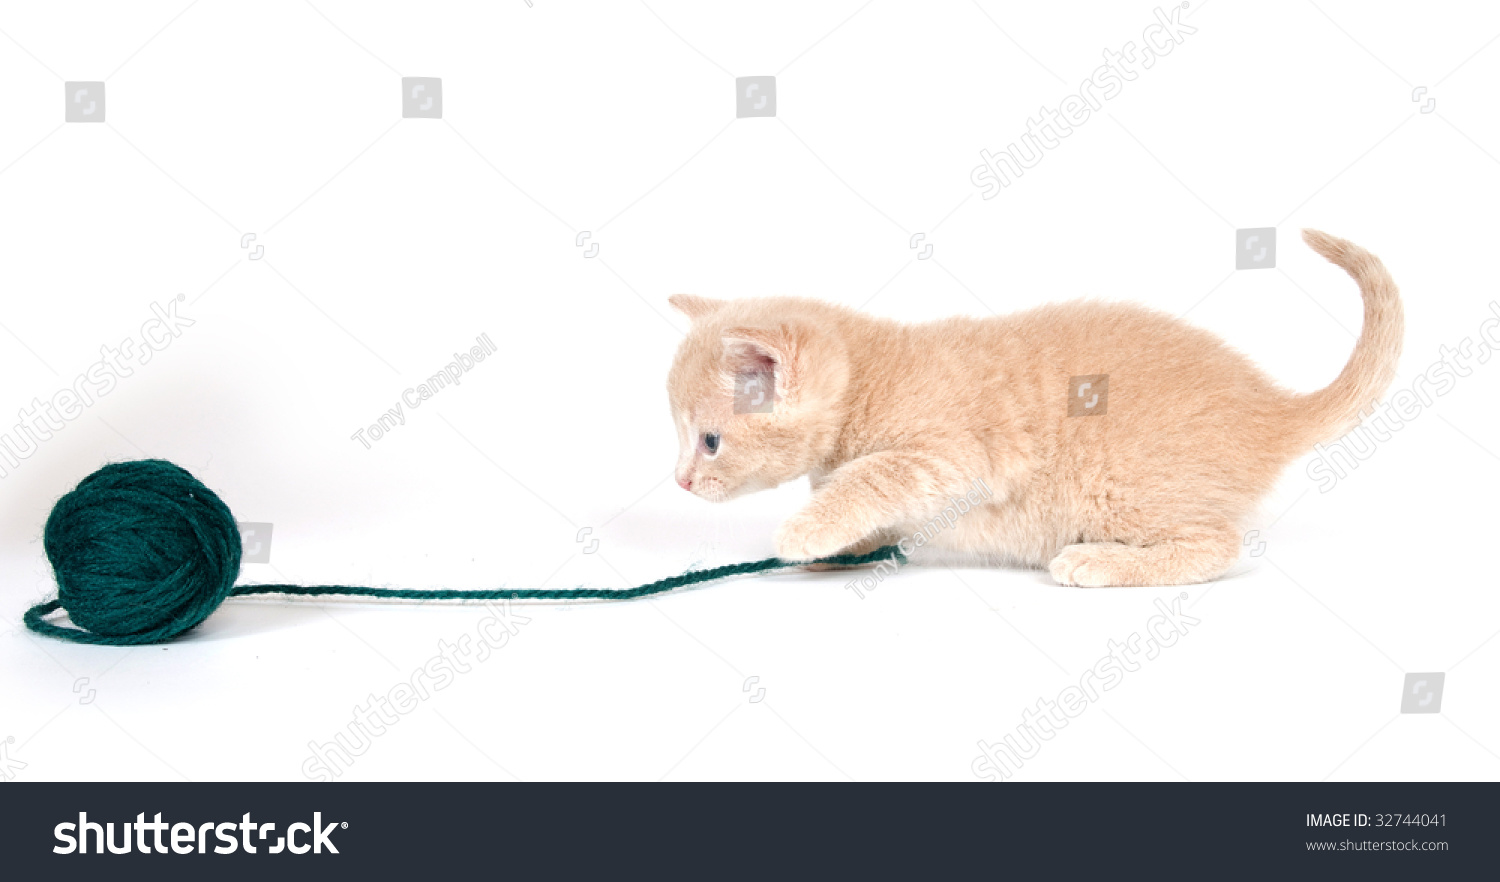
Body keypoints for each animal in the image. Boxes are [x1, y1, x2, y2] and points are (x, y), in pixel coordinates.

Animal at [663, 228, 1398, 585]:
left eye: (709, 441)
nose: (681, 481)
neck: (876, 373)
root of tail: (1270, 407)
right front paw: (842, 545)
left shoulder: (958, 459)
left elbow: (874, 475)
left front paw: (807, 531)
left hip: (1122, 490)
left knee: (1217, 544)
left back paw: (1099, 563)